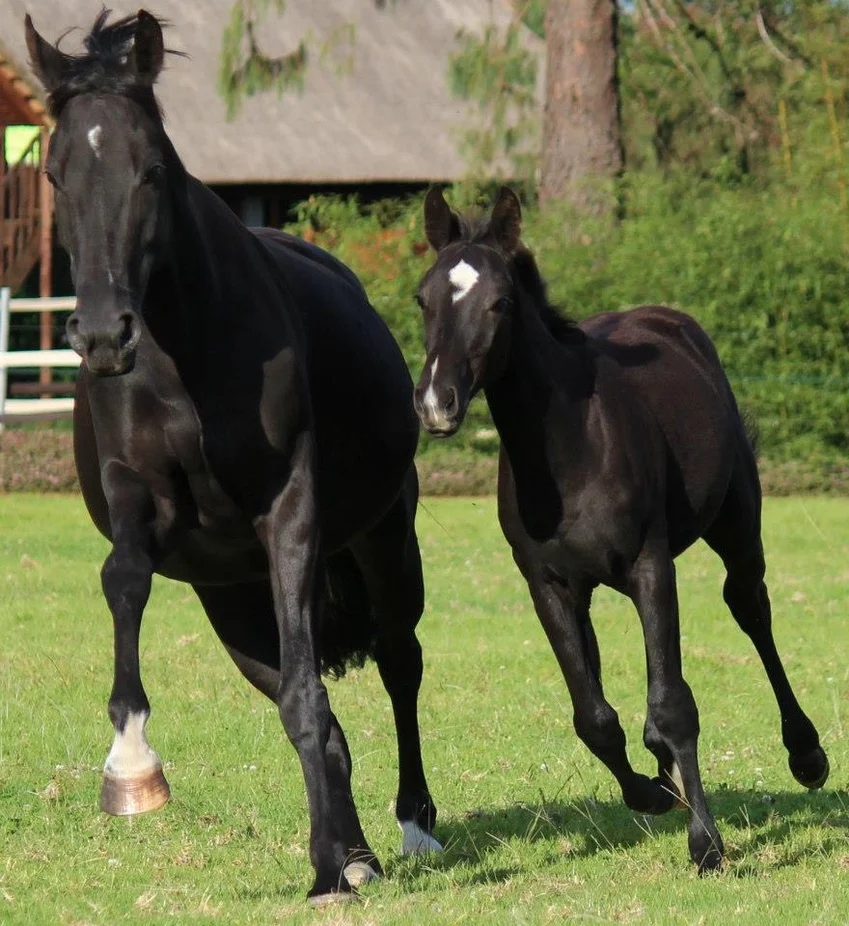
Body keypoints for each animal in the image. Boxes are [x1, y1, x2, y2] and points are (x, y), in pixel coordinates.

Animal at [24, 10, 442, 902]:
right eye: (55, 173)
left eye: (151, 171)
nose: (103, 336)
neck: (183, 353)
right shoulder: (138, 503)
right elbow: (124, 579)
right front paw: (131, 765)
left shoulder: (291, 515)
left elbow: (312, 697)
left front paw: (323, 872)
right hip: (233, 600)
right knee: (315, 708)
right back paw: (355, 854)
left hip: (383, 541)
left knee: (398, 663)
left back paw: (411, 828)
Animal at [411, 186, 829, 872]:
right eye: (424, 298)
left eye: (501, 302)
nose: (436, 404)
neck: (570, 449)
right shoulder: (549, 587)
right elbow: (594, 717)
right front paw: (653, 794)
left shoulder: (650, 568)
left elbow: (675, 704)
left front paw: (707, 844)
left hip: (736, 527)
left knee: (751, 609)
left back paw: (807, 754)